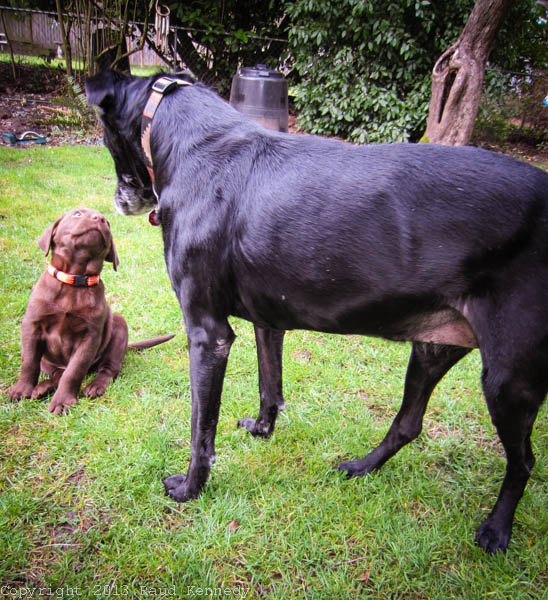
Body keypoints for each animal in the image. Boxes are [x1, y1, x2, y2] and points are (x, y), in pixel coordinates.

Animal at [8, 208, 173, 415]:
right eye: (77, 214)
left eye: (108, 223)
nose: (100, 219)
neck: (74, 279)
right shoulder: (32, 326)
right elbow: (29, 362)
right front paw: (21, 390)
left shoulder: (89, 337)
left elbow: (74, 370)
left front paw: (63, 401)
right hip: (47, 361)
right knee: (57, 373)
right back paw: (42, 388)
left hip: (119, 327)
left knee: (107, 369)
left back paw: (95, 386)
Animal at [85, 69, 548, 554]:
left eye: (103, 134)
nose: (118, 202)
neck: (196, 142)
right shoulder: (268, 322)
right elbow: (270, 385)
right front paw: (261, 430)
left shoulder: (207, 334)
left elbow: (200, 428)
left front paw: (190, 488)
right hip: (434, 347)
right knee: (408, 424)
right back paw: (362, 467)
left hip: (510, 378)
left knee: (524, 461)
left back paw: (497, 528)